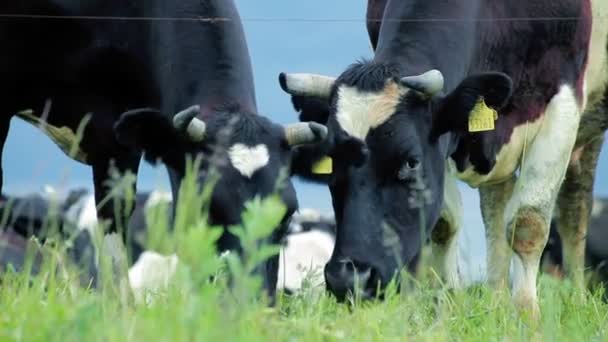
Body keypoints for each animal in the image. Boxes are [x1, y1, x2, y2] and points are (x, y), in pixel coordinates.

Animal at [280, 0, 608, 318]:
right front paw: (447, 308)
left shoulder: (563, 101)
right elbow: (444, 224)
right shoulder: (447, 138)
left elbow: (529, 221)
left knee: (574, 207)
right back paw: (496, 302)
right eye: (331, 159)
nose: (349, 278)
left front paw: (527, 316)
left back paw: (577, 301)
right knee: (496, 206)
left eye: (411, 161)